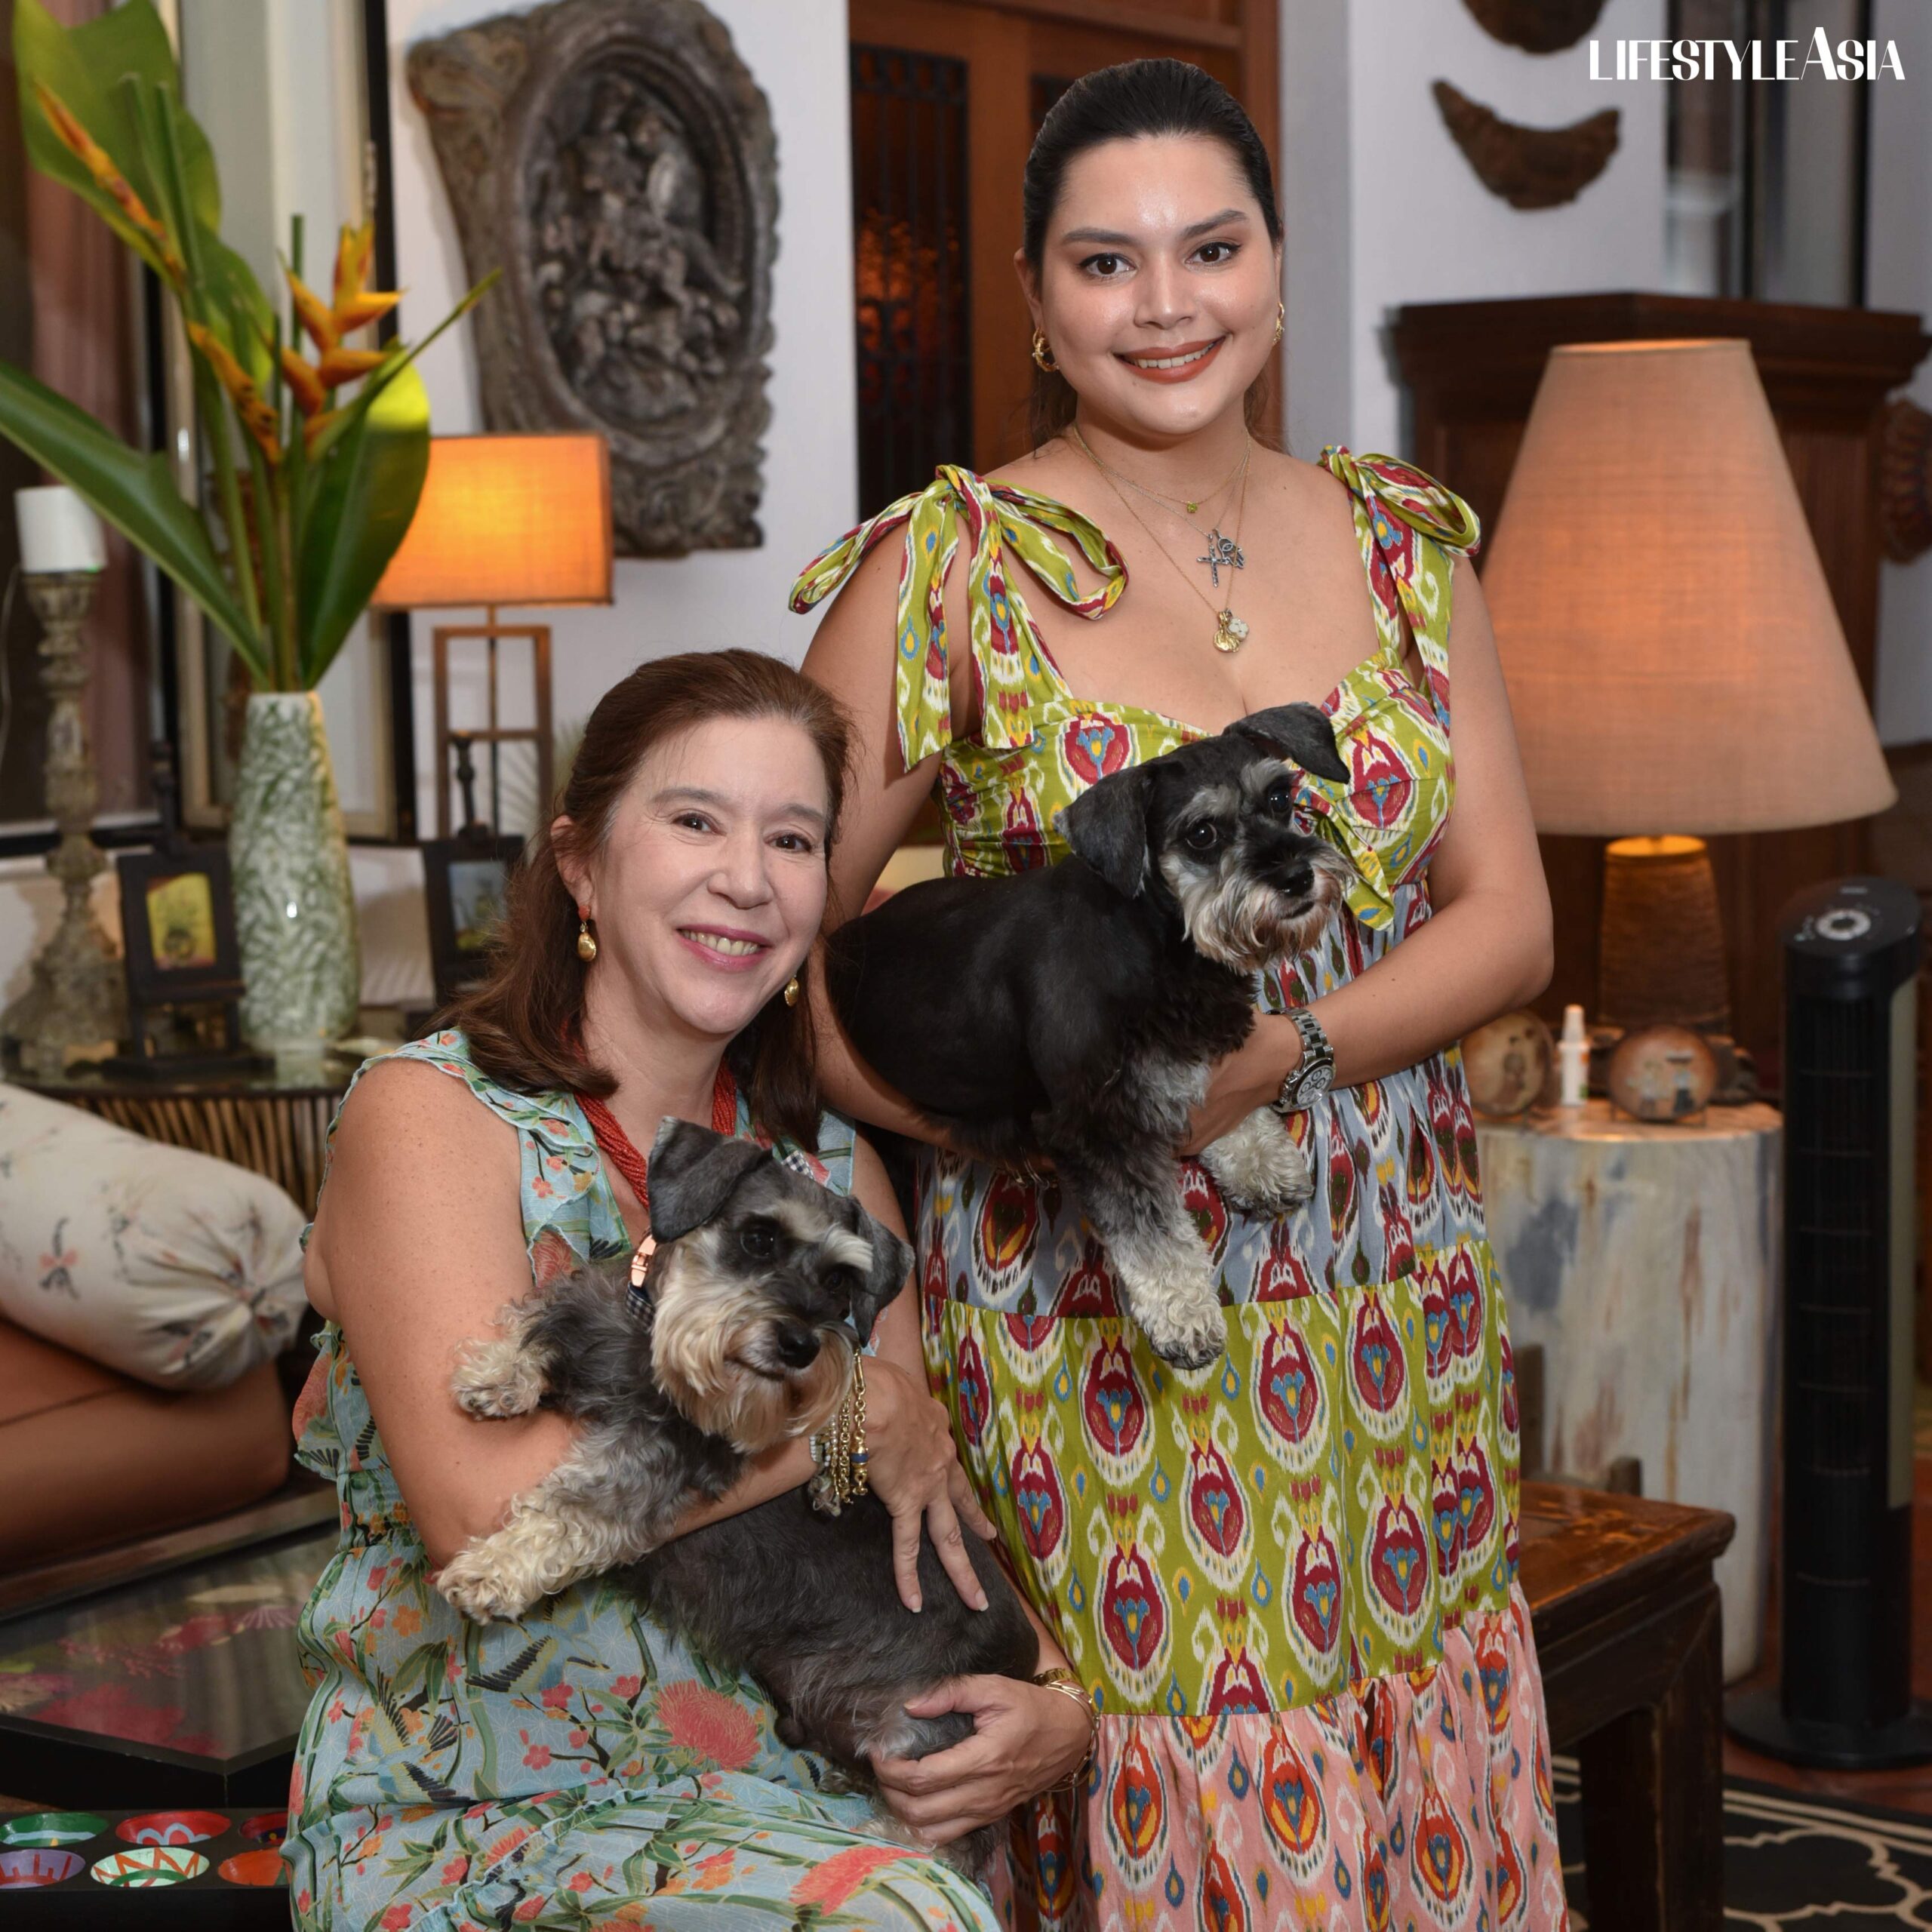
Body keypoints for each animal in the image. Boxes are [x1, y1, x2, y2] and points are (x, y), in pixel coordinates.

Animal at [438, 1119, 1039, 1870]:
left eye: (841, 1280)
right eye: (759, 1238)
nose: (800, 1344)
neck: (648, 1349)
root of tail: (1025, 1666)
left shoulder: (669, 1461)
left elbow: (577, 1508)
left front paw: (492, 1570)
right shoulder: (585, 1313)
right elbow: (538, 1324)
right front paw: (495, 1374)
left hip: (927, 1738)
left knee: (957, 1836)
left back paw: (884, 1838)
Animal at [824, 703, 1352, 1370]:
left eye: (1280, 797)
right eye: (1202, 834)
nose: (1296, 876)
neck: (1156, 936)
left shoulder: (1192, 1054)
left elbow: (1218, 1104)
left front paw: (1261, 1162)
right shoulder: (1097, 1129)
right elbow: (1151, 1233)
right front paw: (1185, 1317)